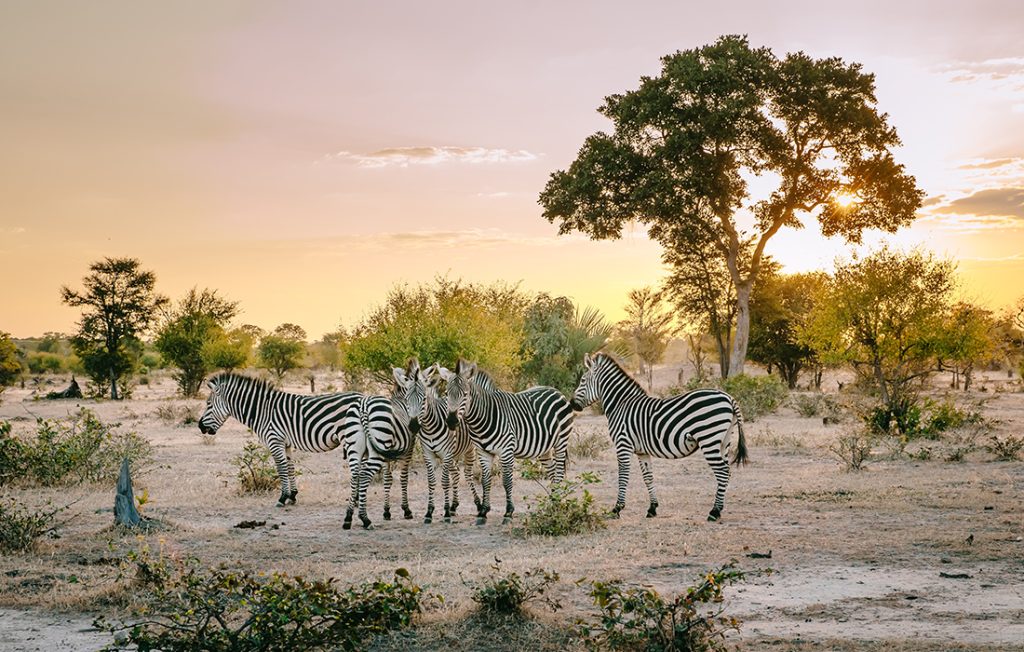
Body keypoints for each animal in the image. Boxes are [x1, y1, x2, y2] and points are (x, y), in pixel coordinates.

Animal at [197, 374, 362, 505]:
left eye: (208, 404)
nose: (200, 426)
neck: (262, 411)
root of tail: (362, 397)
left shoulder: (274, 440)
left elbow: (281, 467)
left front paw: (283, 498)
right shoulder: (286, 443)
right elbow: (290, 467)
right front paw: (293, 496)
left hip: (352, 438)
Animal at [337, 366, 413, 528]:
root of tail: (364, 406)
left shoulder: (386, 453)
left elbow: (387, 479)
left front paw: (387, 511)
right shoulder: (408, 450)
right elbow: (403, 478)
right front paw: (406, 510)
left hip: (357, 447)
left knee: (355, 475)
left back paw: (348, 517)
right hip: (378, 445)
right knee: (364, 475)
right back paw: (365, 519)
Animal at [397, 360, 481, 524]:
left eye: (424, 399)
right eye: (407, 399)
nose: (413, 426)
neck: (430, 428)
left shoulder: (446, 453)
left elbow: (444, 481)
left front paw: (446, 513)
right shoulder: (428, 454)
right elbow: (431, 481)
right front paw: (429, 512)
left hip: (470, 450)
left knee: (468, 474)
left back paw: (478, 505)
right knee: (456, 473)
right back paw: (454, 506)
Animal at [440, 358, 573, 528]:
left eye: (465, 394)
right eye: (446, 394)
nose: (451, 421)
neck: (483, 417)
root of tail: (555, 391)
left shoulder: (506, 451)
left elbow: (507, 482)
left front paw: (508, 513)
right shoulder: (483, 452)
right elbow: (485, 481)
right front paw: (483, 512)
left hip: (561, 441)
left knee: (559, 472)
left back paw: (557, 504)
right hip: (544, 448)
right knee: (552, 471)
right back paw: (552, 502)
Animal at [569, 354, 745, 522]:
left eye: (582, 380)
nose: (571, 404)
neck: (621, 404)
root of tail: (728, 397)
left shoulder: (623, 444)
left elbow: (623, 476)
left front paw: (617, 509)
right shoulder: (641, 451)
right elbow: (648, 477)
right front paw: (652, 508)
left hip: (709, 439)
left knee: (722, 472)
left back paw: (714, 512)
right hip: (724, 441)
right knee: (727, 472)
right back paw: (719, 509)